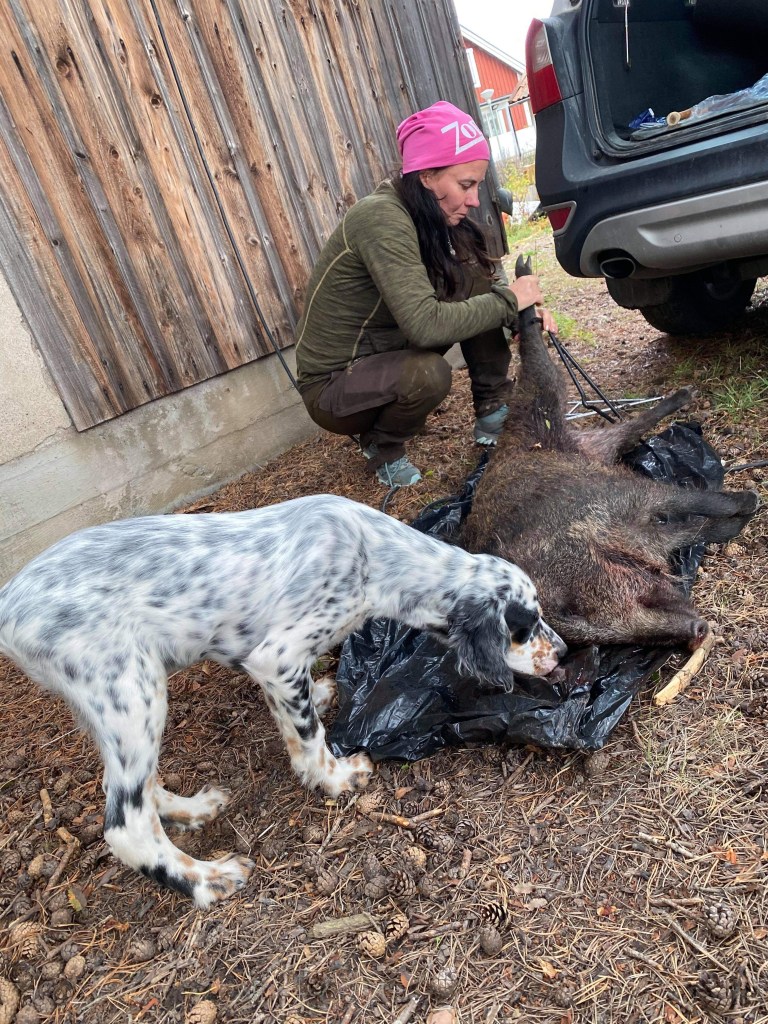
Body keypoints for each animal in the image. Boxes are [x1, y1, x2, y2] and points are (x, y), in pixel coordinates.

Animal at [0, 493, 564, 906]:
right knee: (126, 823)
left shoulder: (272, 669)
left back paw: (192, 809)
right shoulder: (277, 656)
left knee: (132, 787)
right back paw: (209, 878)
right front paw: (336, 778)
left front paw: (319, 711)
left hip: (114, 704)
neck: (373, 557)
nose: (561, 653)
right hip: (131, 690)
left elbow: (297, 724)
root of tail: (8, 606)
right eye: (526, 624)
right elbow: (312, 735)